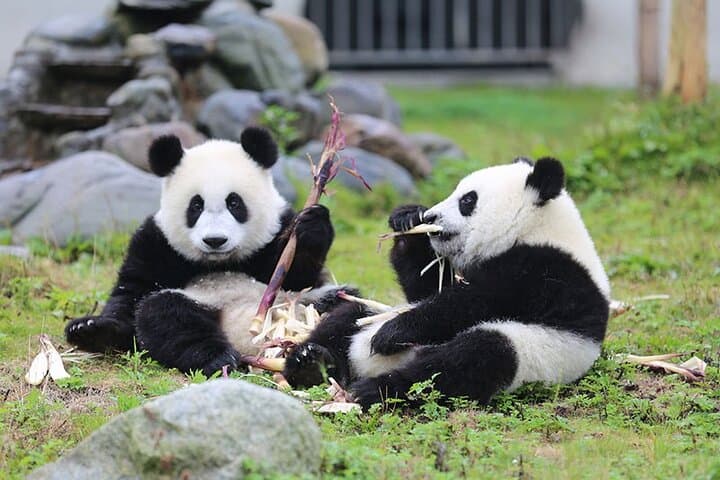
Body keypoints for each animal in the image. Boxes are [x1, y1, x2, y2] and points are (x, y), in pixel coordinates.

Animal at [65, 127, 344, 376]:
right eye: (196, 205)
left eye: (234, 202)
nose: (215, 240)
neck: (220, 262)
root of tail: (249, 343)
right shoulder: (156, 243)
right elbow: (133, 292)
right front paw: (91, 329)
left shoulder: (277, 231)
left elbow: (299, 276)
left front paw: (312, 225)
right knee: (165, 313)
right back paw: (220, 358)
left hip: (306, 304)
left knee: (344, 310)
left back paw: (310, 359)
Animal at [283, 157, 610, 409]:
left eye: (467, 200)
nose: (431, 216)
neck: (537, 229)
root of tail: (364, 365)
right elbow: (428, 288)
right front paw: (407, 219)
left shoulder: (545, 271)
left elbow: (474, 302)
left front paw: (391, 334)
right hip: (373, 312)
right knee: (345, 318)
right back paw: (310, 363)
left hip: (531, 350)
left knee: (468, 361)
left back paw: (374, 388)